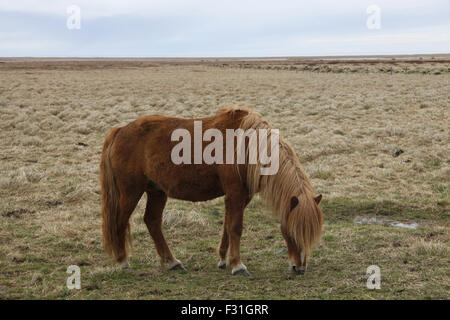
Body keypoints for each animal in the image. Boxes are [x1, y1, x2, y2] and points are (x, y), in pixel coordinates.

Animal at [100, 107, 322, 276]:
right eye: (292, 231)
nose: (299, 268)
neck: (247, 144)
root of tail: (119, 131)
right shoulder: (235, 193)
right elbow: (235, 227)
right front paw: (237, 265)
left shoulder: (241, 196)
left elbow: (227, 226)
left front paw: (224, 260)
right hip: (131, 192)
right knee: (120, 221)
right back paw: (122, 261)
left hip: (157, 191)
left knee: (152, 222)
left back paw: (171, 262)